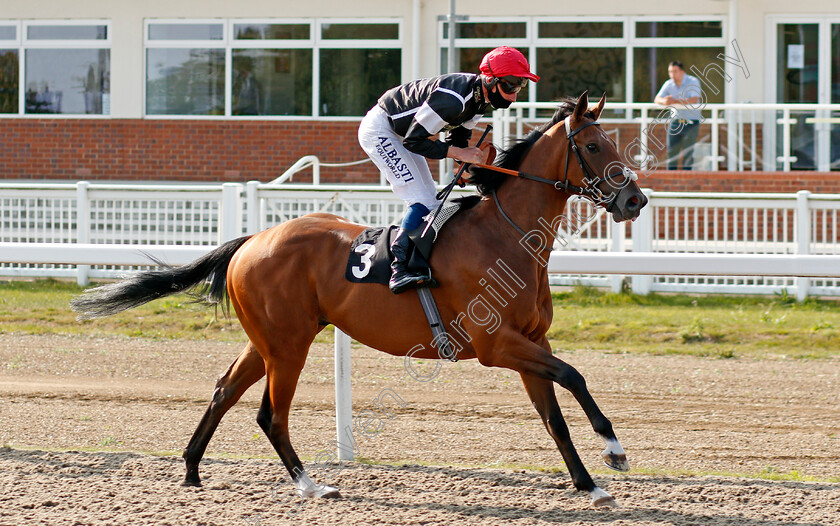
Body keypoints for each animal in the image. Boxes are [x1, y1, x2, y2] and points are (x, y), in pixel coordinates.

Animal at [72, 93, 648, 510]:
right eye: (593, 147)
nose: (635, 199)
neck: (504, 237)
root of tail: (253, 240)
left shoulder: (530, 341)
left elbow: (554, 416)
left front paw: (589, 484)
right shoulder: (497, 345)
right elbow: (575, 375)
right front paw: (614, 451)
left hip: (269, 340)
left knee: (224, 390)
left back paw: (192, 469)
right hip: (288, 345)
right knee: (270, 415)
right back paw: (310, 485)